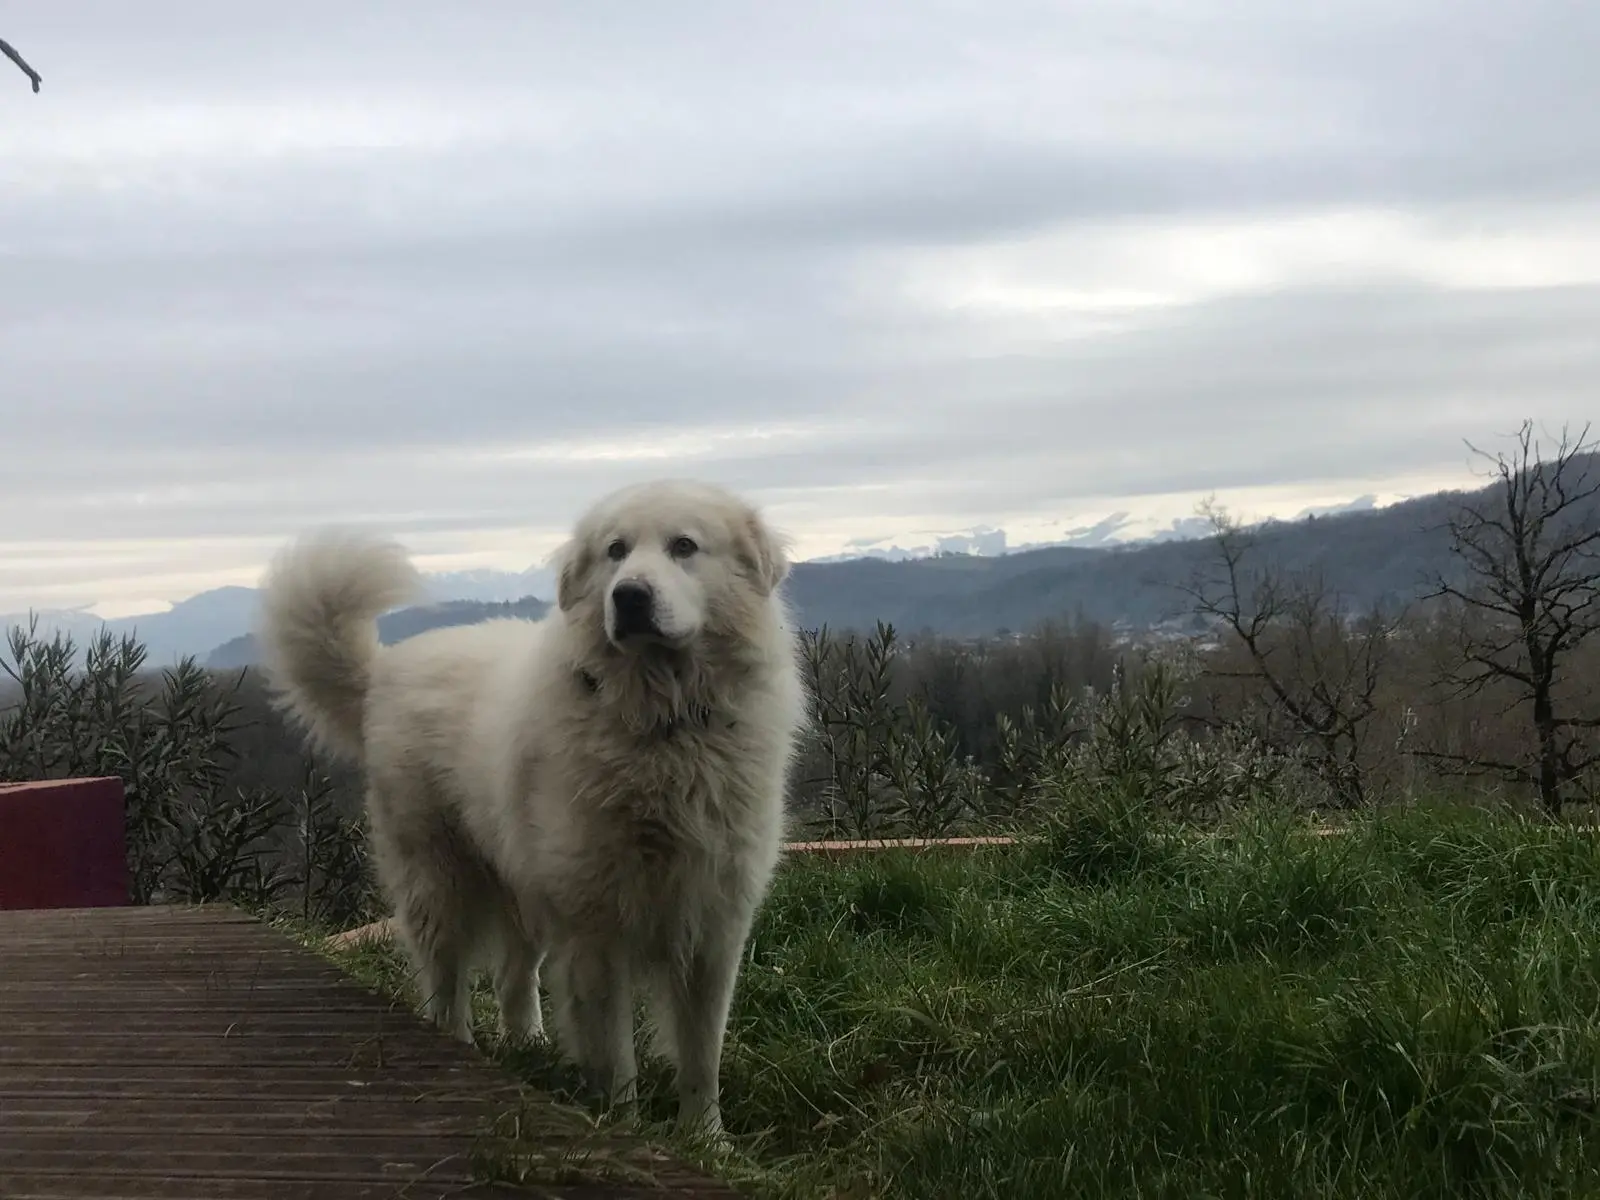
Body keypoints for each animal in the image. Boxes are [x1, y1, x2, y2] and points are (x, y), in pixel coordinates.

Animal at [267, 480, 812, 1139]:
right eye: (615, 551)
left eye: (684, 546)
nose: (629, 596)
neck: (662, 727)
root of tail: (386, 669)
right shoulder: (598, 929)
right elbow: (615, 1052)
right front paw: (624, 1128)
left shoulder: (713, 923)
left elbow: (702, 1055)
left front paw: (707, 1139)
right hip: (440, 884)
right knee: (445, 983)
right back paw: (460, 1048)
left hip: (521, 890)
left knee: (512, 976)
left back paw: (527, 1043)